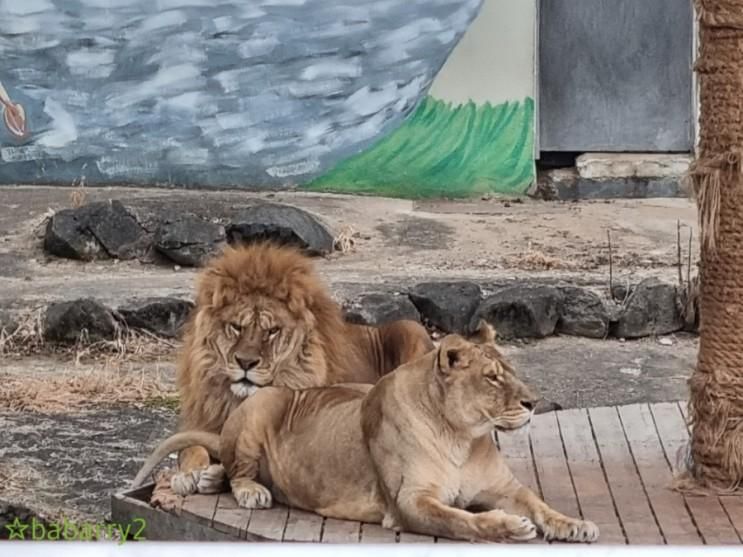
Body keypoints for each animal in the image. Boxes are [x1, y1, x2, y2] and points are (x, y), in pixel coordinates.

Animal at [132, 324, 600, 540]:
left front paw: (575, 525)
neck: (461, 438)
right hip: (263, 402)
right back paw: (249, 491)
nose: (533, 402)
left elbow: (539, 504)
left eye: (512, 372)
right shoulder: (410, 503)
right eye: (492, 378)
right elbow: (462, 521)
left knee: (225, 466)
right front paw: (510, 527)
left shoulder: (506, 487)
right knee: (239, 468)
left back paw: (208, 477)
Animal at [167, 241, 436, 494]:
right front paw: (187, 475)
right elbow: (190, 448)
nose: (245, 362)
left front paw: (215, 476)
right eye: (236, 327)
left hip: (410, 328)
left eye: (272, 331)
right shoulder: (200, 423)